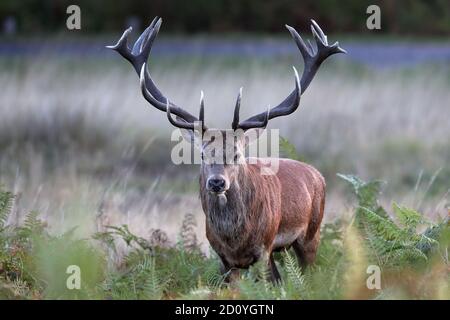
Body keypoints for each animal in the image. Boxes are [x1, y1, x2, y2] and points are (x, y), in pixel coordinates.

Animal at [108, 16, 344, 282]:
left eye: (237, 153)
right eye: (202, 153)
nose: (217, 182)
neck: (235, 241)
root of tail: (317, 174)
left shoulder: (264, 247)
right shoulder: (223, 258)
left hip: (311, 233)